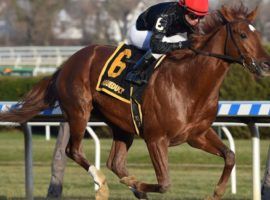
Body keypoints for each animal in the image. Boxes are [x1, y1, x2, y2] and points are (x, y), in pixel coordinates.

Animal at [0, 3, 270, 200]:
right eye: (243, 34)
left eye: (257, 34)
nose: (266, 64)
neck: (189, 82)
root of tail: (67, 63)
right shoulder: (155, 138)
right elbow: (164, 183)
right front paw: (134, 183)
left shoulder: (197, 135)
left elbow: (230, 155)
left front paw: (217, 192)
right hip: (79, 111)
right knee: (73, 150)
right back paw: (102, 184)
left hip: (121, 125)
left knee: (115, 163)